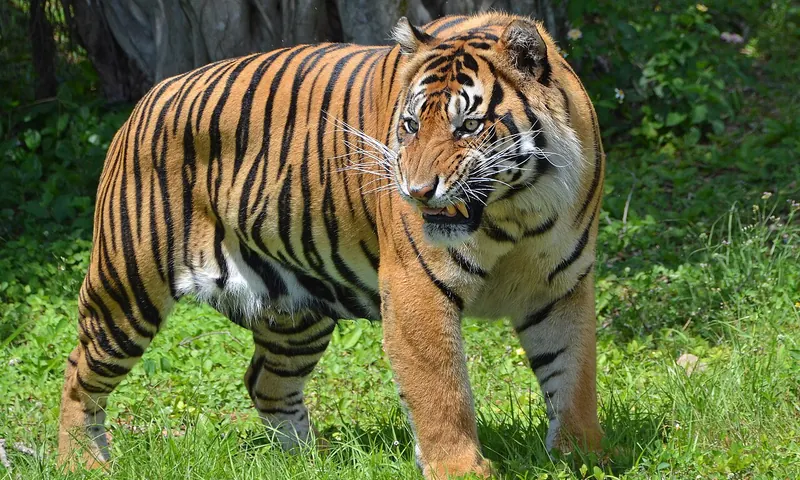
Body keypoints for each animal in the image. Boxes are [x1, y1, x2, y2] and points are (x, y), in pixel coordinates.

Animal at [58, 11, 605, 478]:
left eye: (468, 125)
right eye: (411, 125)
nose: (416, 191)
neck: (517, 210)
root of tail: (149, 97)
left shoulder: (561, 285)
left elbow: (573, 375)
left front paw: (581, 457)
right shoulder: (417, 287)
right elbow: (442, 391)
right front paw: (461, 471)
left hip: (294, 313)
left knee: (266, 383)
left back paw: (311, 461)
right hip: (126, 289)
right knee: (78, 376)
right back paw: (81, 462)